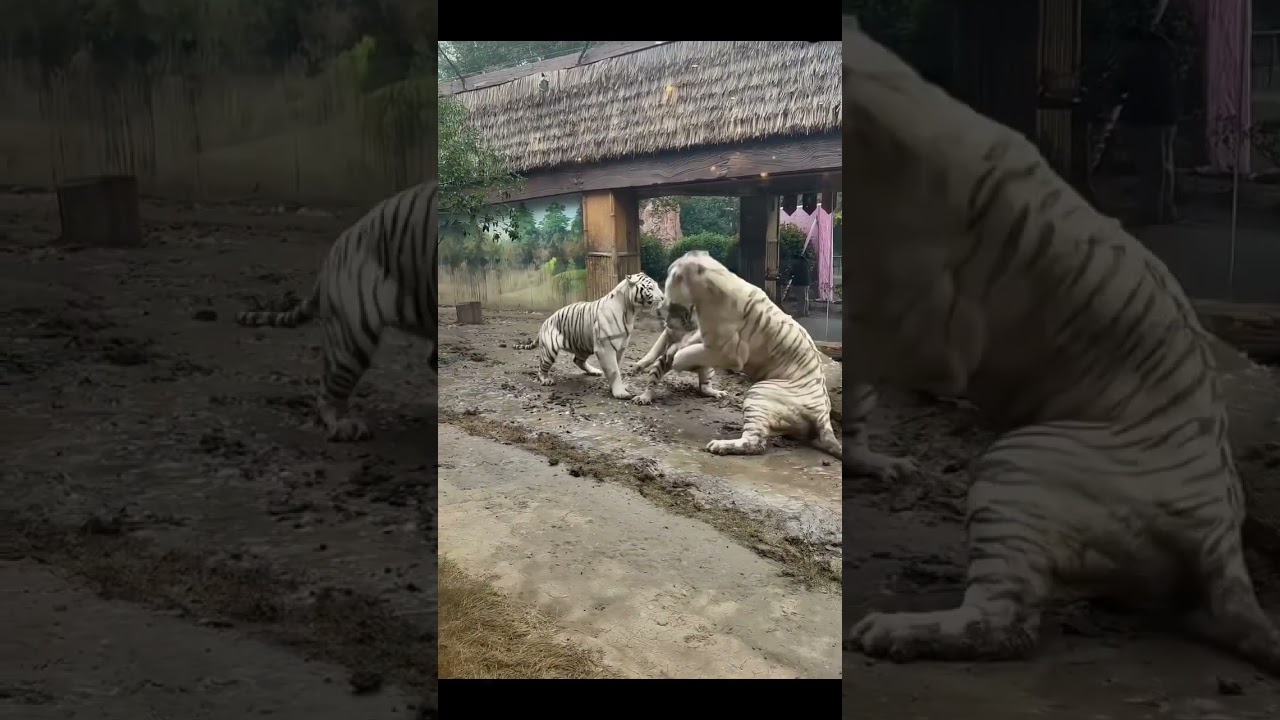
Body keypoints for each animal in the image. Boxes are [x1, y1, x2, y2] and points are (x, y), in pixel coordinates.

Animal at [513, 273, 663, 399]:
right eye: (651, 287)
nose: (663, 297)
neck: (630, 312)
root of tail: (545, 323)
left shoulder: (620, 346)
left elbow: (616, 367)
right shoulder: (605, 348)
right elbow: (614, 370)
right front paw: (620, 393)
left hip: (583, 345)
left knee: (577, 360)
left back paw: (594, 371)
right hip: (550, 351)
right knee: (541, 368)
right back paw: (546, 379)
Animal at [662, 251, 841, 459]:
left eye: (671, 275)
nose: (663, 304)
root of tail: (824, 416)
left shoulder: (726, 351)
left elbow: (688, 352)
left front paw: (677, 360)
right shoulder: (706, 336)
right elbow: (689, 342)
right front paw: (673, 350)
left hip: (759, 393)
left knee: (755, 443)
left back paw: (720, 445)